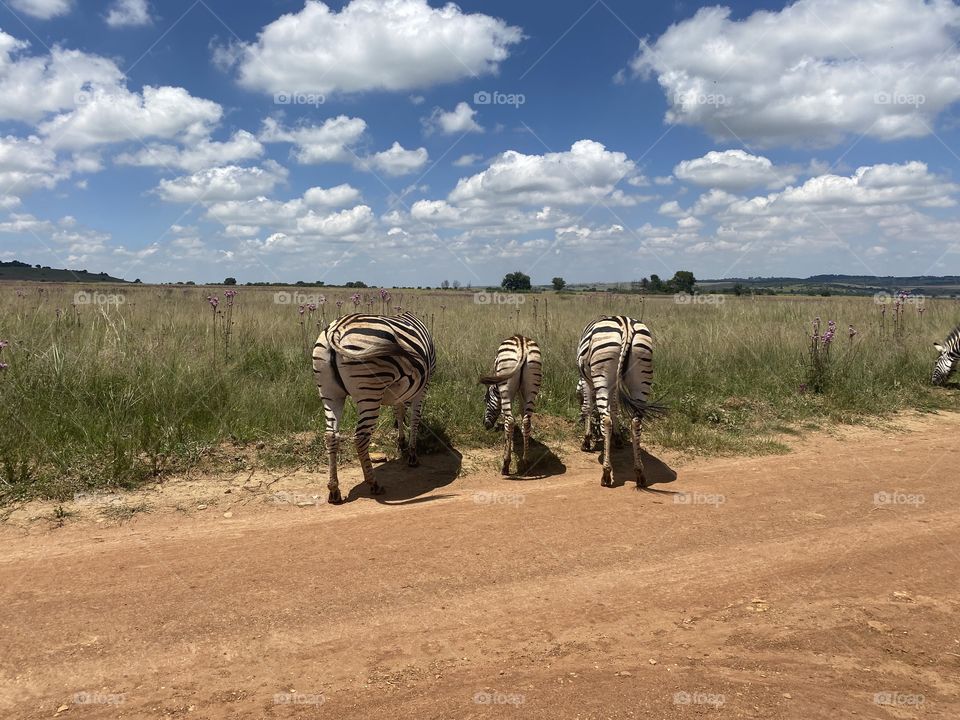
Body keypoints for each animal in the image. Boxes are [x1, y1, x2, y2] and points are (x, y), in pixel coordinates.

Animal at [314, 312, 436, 504]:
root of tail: (337, 329)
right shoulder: (423, 387)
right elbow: (414, 420)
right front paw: (412, 455)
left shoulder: (399, 391)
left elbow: (399, 412)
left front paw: (401, 442)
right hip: (369, 392)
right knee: (360, 437)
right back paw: (374, 483)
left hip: (329, 392)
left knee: (331, 435)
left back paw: (334, 490)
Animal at [478, 334, 540, 476]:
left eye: (485, 400)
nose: (485, 425)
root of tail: (522, 343)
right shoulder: (521, 393)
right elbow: (522, 414)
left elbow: (506, 417)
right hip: (532, 386)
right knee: (527, 420)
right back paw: (526, 462)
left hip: (505, 386)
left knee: (510, 420)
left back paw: (505, 465)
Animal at [576, 316, 660, 490]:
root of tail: (626, 325)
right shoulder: (613, 386)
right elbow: (614, 407)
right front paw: (618, 438)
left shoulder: (586, 381)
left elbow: (588, 408)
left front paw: (586, 441)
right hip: (641, 377)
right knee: (636, 422)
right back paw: (639, 473)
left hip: (601, 373)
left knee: (606, 420)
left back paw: (606, 473)